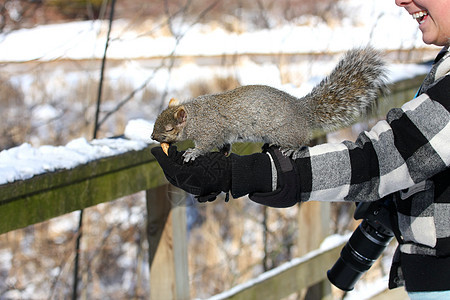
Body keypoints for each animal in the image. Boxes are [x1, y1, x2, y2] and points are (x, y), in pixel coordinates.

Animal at [151, 47, 386, 163]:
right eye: (155, 121)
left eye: (169, 129)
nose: (153, 137)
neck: (196, 116)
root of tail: (302, 110)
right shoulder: (223, 133)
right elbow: (225, 143)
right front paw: (224, 152)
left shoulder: (210, 130)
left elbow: (205, 145)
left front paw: (192, 153)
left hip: (285, 133)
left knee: (301, 141)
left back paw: (291, 149)